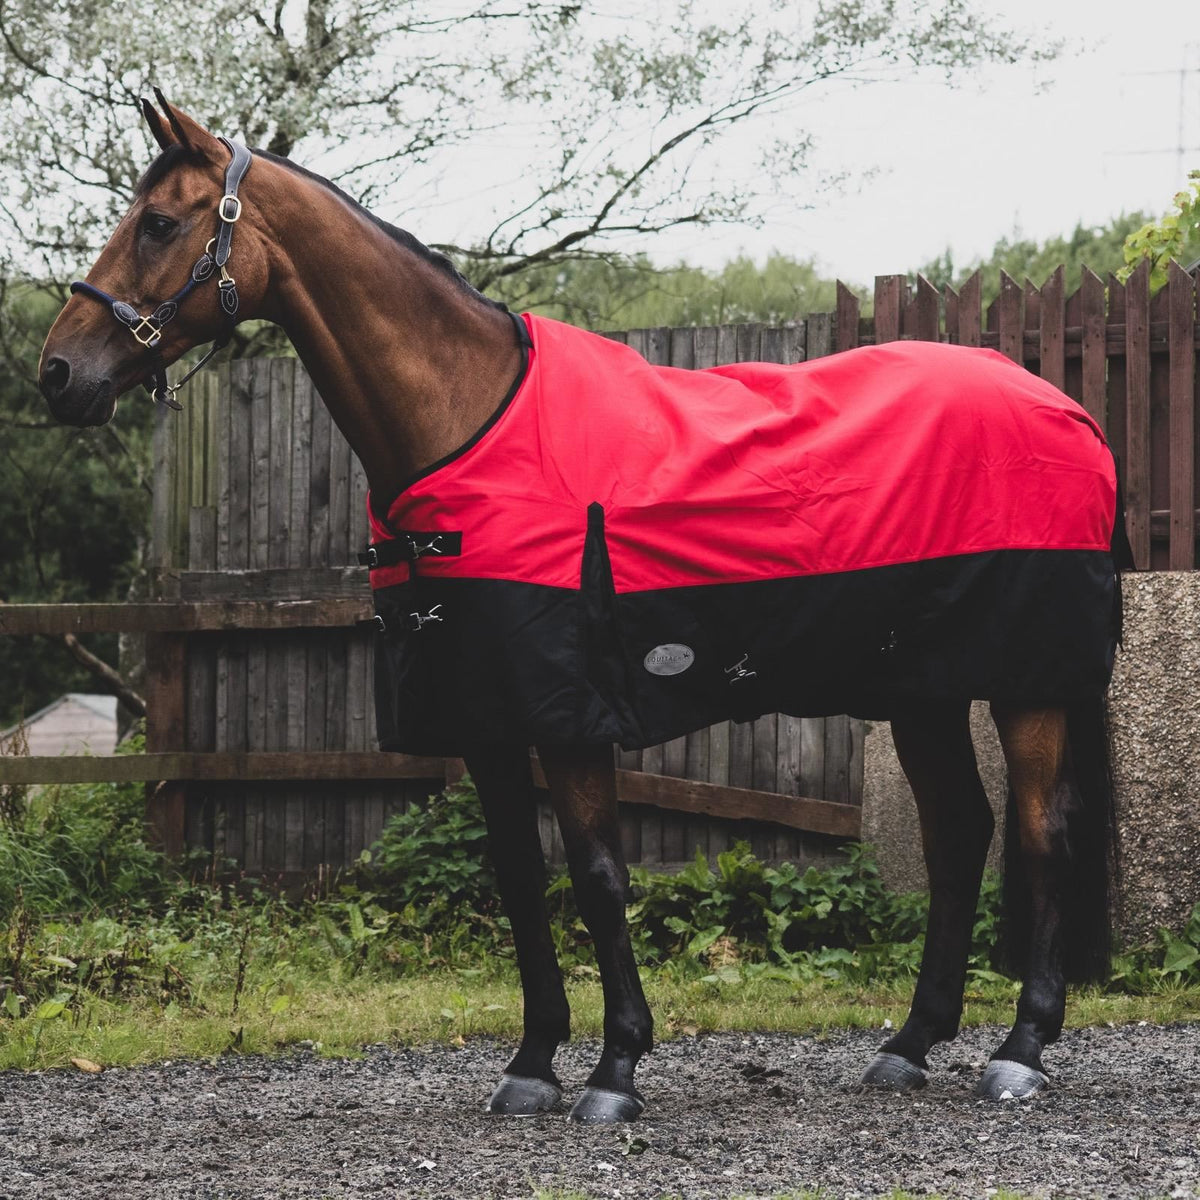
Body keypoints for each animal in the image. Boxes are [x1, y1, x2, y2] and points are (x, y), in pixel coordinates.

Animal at [39, 93, 1124, 1123]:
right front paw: (530, 1067)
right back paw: (909, 1044)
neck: (470, 420)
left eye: (159, 223)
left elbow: (600, 878)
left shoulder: (570, 718)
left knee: (1041, 832)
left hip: (1028, 684)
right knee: (960, 836)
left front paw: (616, 1070)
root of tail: (1068, 409)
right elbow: (522, 881)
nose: (58, 375)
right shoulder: (483, 714)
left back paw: (1021, 1050)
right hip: (921, 688)